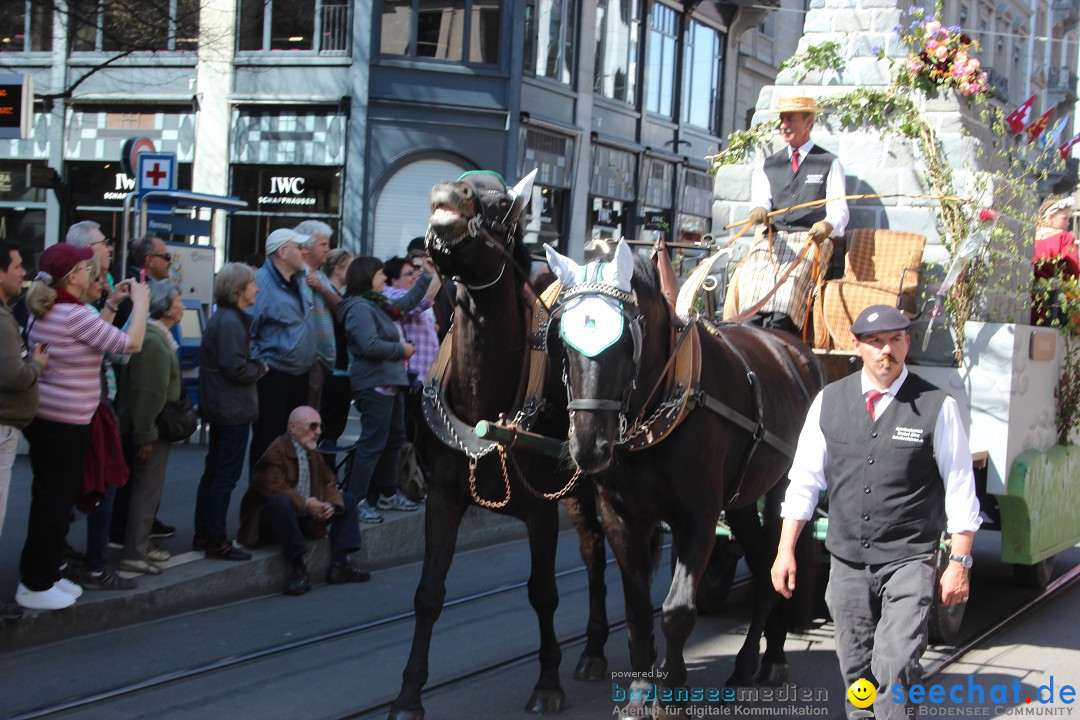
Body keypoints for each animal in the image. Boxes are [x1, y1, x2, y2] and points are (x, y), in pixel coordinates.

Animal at [388, 170, 613, 720]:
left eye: (502, 205)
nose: (449, 193)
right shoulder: (443, 496)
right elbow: (428, 594)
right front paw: (408, 695)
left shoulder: (539, 508)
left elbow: (543, 592)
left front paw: (547, 682)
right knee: (593, 550)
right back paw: (594, 648)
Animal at [548, 240, 825, 699]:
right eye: (562, 344)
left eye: (625, 343)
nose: (588, 446)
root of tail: (795, 348)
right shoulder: (622, 515)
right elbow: (638, 608)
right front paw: (641, 689)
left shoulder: (699, 514)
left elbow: (677, 610)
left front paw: (672, 692)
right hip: (742, 501)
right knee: (761, 559)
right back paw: (748, 663)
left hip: (786, 488)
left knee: (779, 563)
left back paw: (769, 658)